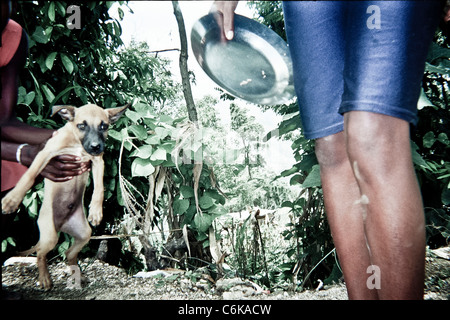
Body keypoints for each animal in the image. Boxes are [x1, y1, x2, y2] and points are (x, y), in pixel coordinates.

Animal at [1, 103, 128, 290]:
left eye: (103, 126)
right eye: (81, 125)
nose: (96, 146)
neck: (77, 143)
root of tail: (62, 225)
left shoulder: (98, 161)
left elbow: (99, 188)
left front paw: (96, 211)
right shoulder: (45, 153)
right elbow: (29, 175)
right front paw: (12, 200)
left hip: (84, 233)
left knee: (69, 253)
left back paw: (77, 275)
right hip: (50, 236)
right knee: (40, 254)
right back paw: (45, 278)